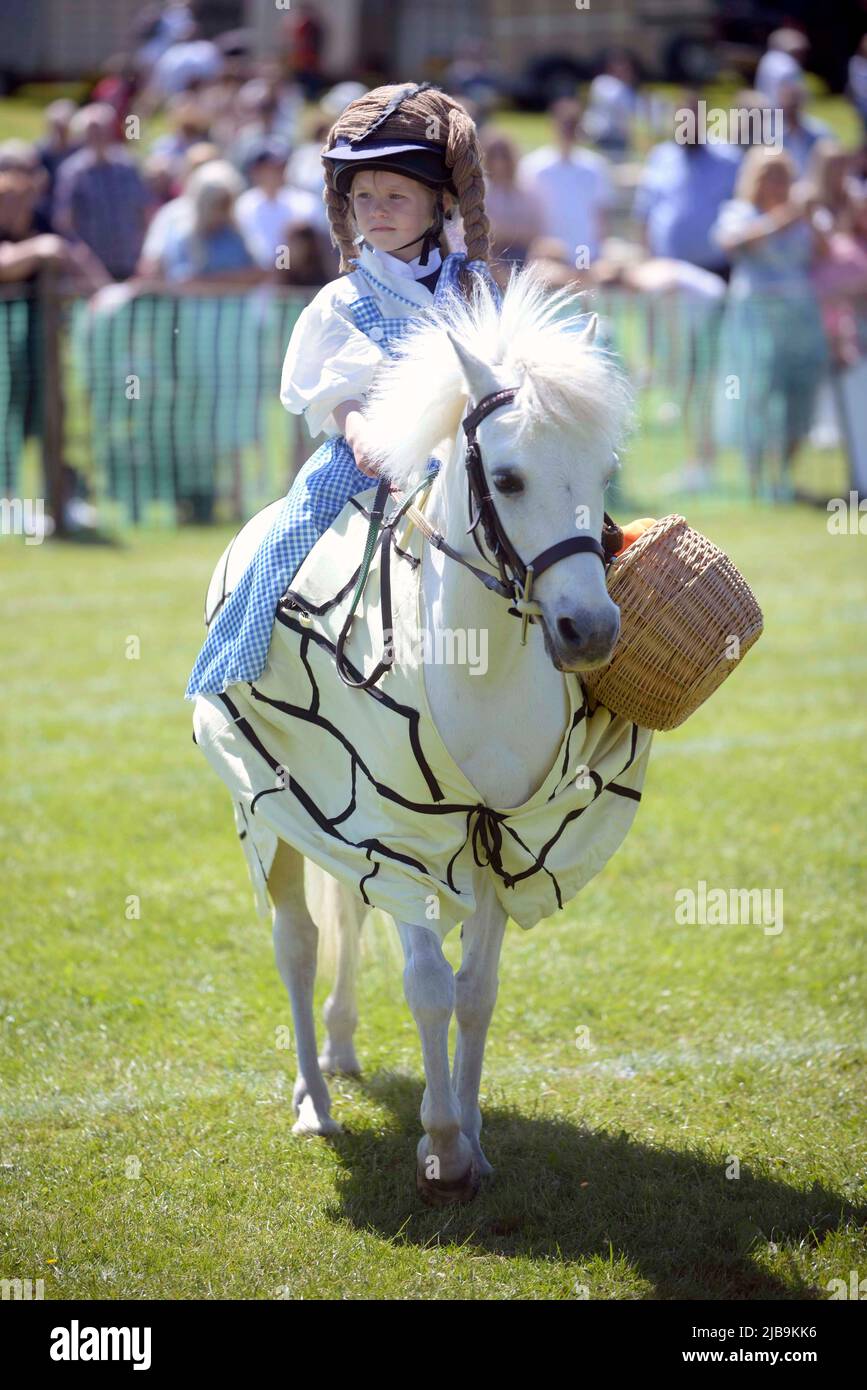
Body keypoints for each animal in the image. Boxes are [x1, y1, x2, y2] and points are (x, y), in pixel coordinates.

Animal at [201, 265, 644, 1200]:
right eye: (505, 479)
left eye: (604, 469)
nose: (589, 630)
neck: (480, 666)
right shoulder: (403, 833)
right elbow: (427, 984)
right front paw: (439, 1148)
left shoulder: (501, 835)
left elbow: (474, 990)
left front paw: (471, 1136)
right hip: (270, 816)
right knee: (296, 943)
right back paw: (314, 1099)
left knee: (344, 921)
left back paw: (340, 1052)